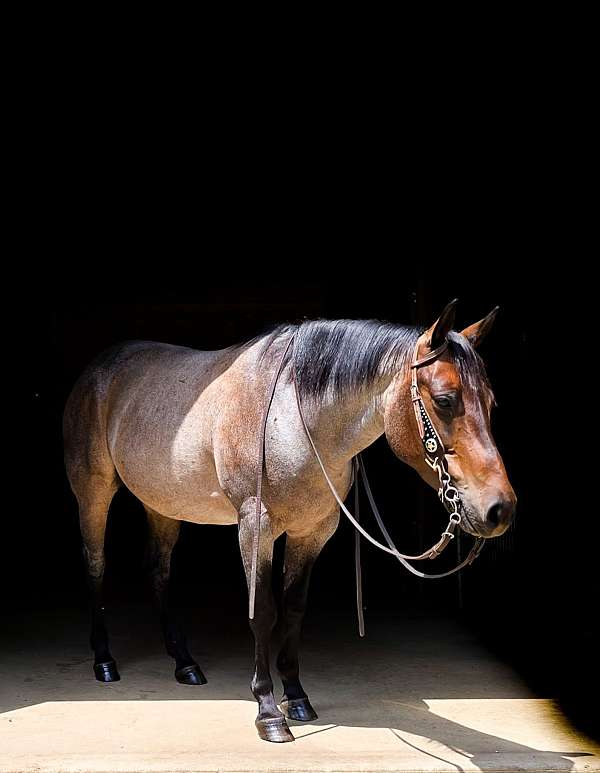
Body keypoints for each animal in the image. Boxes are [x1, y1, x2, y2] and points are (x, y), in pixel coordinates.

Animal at [63, 300, 516, 743]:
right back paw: (104, 661)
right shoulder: (254, 529)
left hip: (163, 505)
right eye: (445, 399)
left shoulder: (311, 533)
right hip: (94, 493)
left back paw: (184, 663)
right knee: (95, 565)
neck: (296, 420)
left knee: (157, 571)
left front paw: (296, 697)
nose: (500, 509)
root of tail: (97, 370)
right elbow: (262, 610)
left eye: (492, 403)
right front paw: (268, 712)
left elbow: (294, 608)